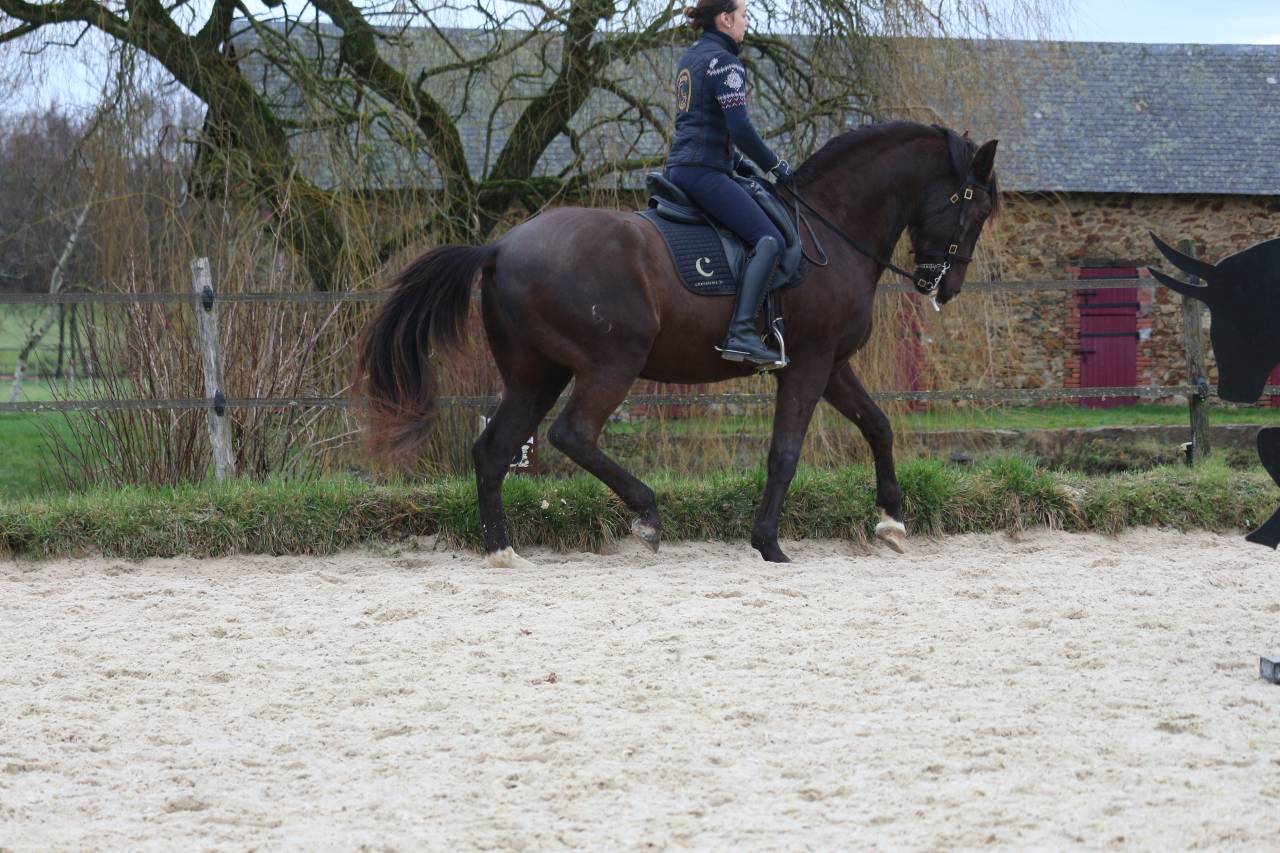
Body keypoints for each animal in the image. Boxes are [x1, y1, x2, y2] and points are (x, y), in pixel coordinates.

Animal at [355, 121, 1000, 566]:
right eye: (975, 209)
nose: (946, 287)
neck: (831, 228)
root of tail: (499, 246)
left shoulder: (831, 364)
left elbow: (878, 426)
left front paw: (891, 520)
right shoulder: (808, 364)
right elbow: (785, 453)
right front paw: (769, 544)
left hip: (535, 374)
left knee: (494, 451)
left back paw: (502, 551)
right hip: (612, 362)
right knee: (572, 434)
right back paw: (646, 514)